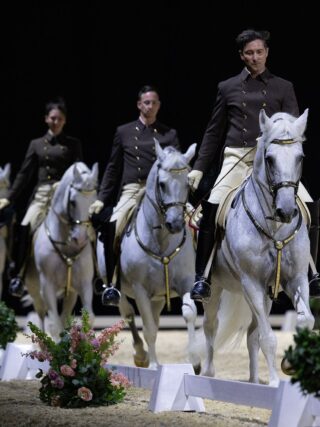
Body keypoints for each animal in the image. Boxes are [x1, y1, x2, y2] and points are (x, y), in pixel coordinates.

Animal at [25, 162, 98, 340]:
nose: (80, 239)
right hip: (36, 291)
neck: (66, 243)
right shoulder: (47, 287)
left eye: (93, 202)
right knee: (41, 318)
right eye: (72, 202)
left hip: (70, 294)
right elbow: (54, 325)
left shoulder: (84, 284)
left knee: (64, 316)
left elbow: (89, 317)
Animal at [99, 142, 201, 372]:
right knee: (128, 314)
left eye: (187, 184)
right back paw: (141, 355)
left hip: (158, 297)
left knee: (152, 318)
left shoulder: (186, 282)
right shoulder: (140, 290)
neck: (161, 239)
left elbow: (189, 313)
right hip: (120, 290)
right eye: (162, 184)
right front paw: (154, 366)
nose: (175, 224)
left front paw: (195, 361)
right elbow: (149, 329)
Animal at [201, 109, 314, 388]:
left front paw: (289, 366)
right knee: (211, 325)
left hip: (265, 294)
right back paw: (207, 373)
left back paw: (253, 380)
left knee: (251, 333)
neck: (275, 230)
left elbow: (306, 320)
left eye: (300, 157)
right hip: (216, 288)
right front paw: (274, 383)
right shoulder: (250, 282)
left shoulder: (295, 279)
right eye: (270, 159)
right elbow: (268, 337)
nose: (286, 211)